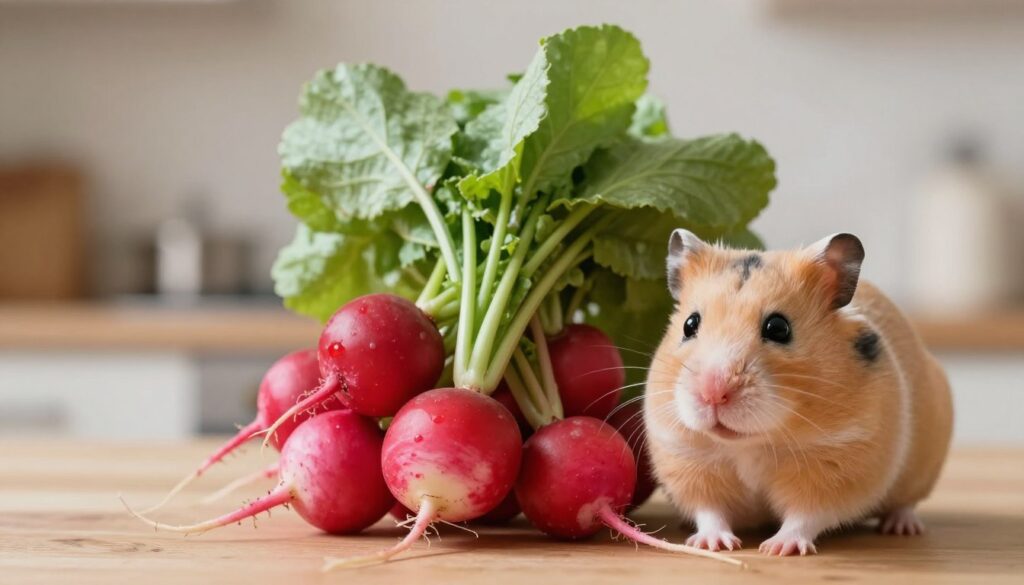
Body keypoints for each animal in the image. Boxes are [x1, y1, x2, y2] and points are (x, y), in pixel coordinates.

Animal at [644, 230, 953, 556]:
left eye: (778, 328)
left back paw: (903, 527)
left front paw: (776, 548)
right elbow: (709, 510)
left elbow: (805, 515)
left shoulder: (837, 464)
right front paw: (714, 544)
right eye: (690, 324)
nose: (713, 393)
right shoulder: (688, 460)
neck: (752, 443)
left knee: (906, 503)